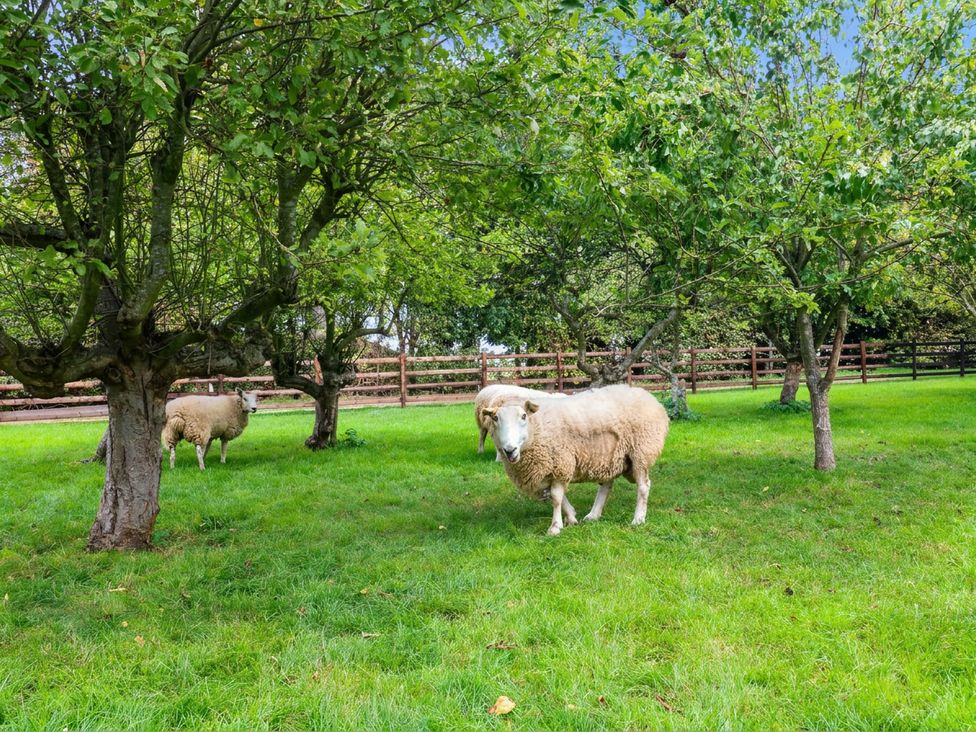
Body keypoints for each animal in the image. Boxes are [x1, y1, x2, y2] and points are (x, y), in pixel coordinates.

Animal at [482, 384, 669, 536]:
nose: (509, 450)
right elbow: (557, 496)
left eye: (523, 416)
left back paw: (638, 518)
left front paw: (555, 527)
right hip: (611, 457)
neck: (538, 427)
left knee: (644, 486)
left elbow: (556, 497)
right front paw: (571, 517)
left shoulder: (560, 464)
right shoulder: (550, 470)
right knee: (606, 486)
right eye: (495, 418)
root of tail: (650, 398)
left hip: (641, 452)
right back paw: (593, 515)